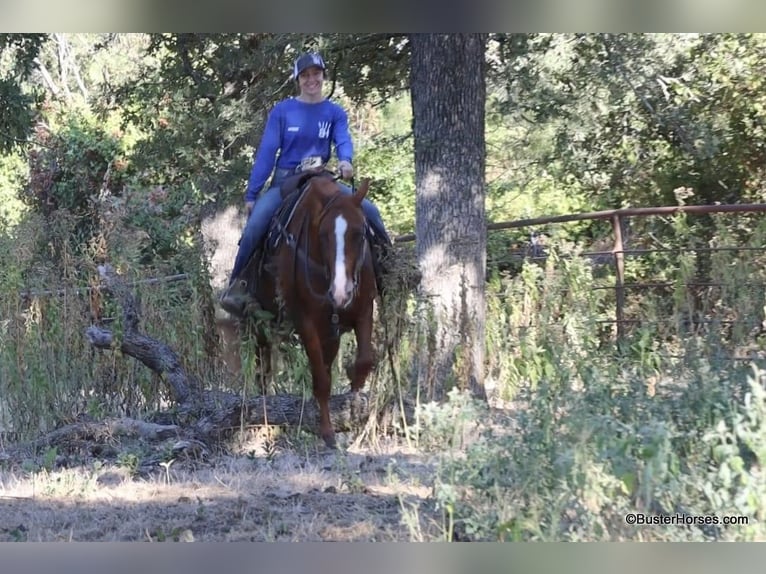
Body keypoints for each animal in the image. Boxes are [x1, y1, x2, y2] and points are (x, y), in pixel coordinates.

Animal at [239, 171, 378, 448]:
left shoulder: (364, 311)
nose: (341, 292)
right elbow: (321, 379)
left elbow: (363, 362)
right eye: (323, 235)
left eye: (360, 233)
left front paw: (354, 409)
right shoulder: (306, 323)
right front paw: (327, 432)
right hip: (259, 324)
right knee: (263, 373)